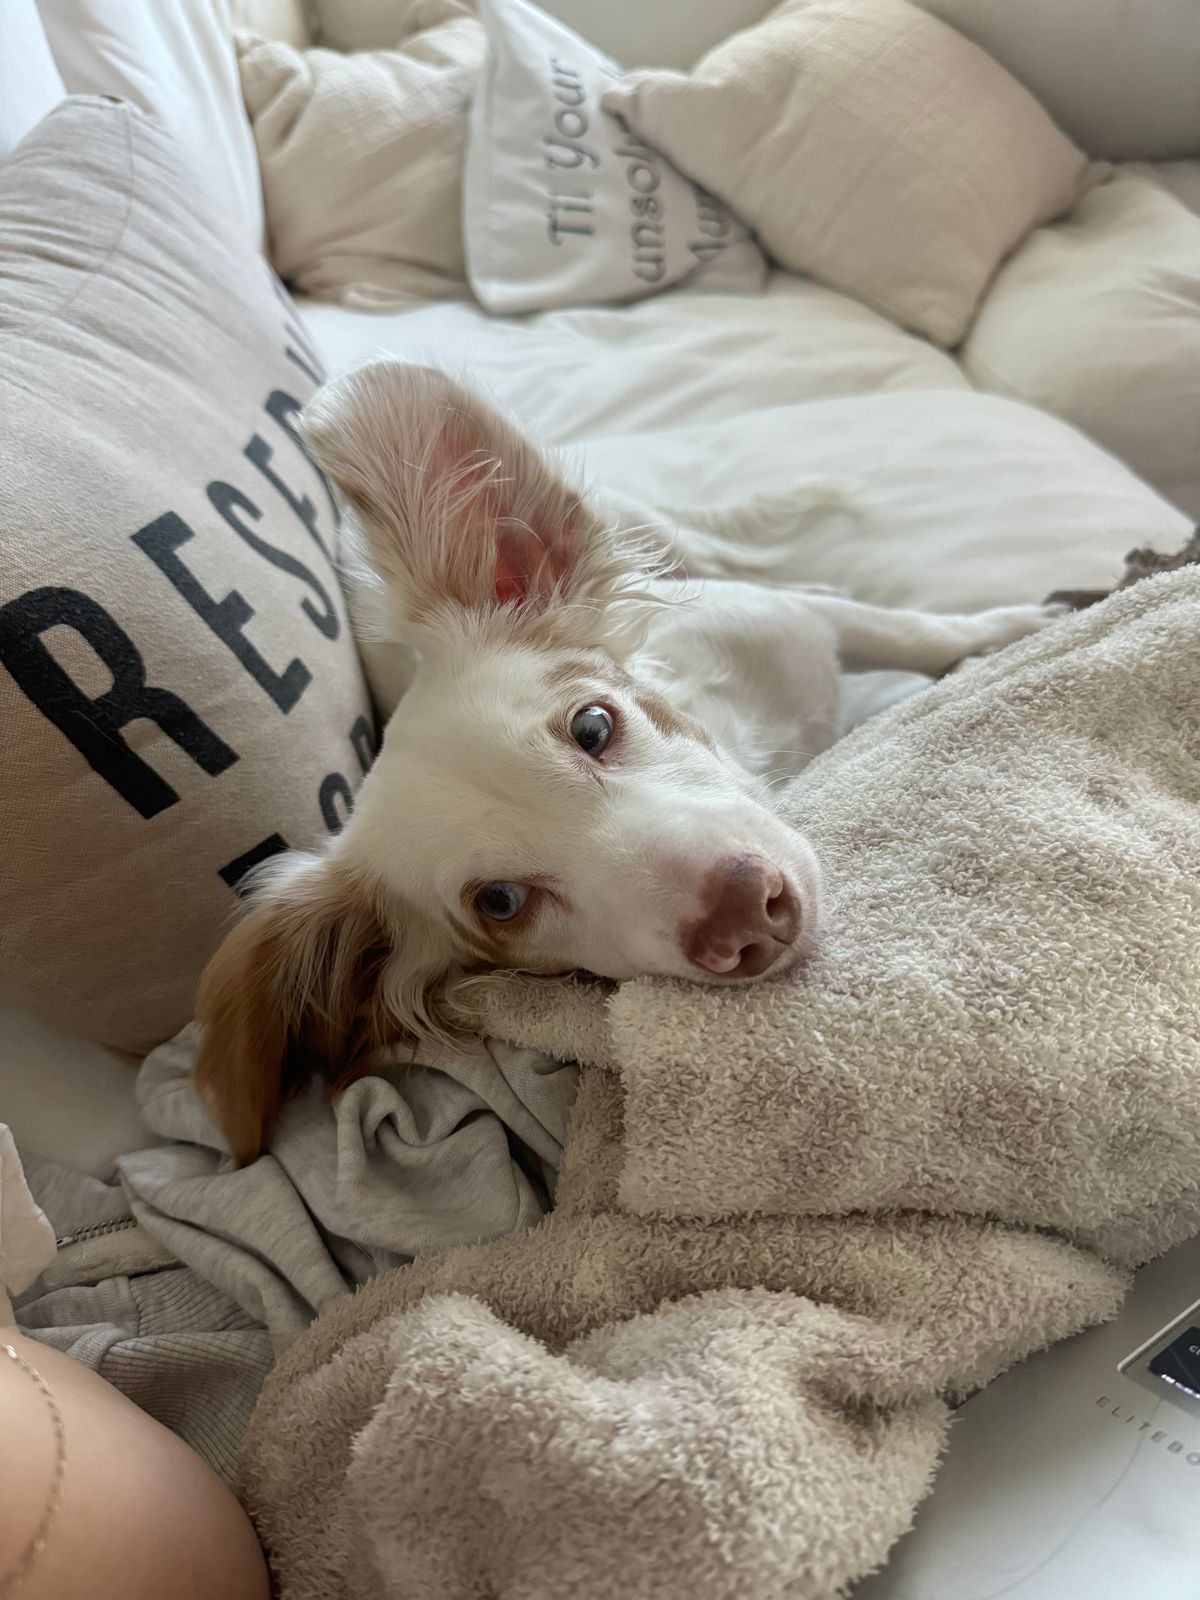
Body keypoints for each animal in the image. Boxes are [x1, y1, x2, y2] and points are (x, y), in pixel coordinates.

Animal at [195, 361, 1059, 1162]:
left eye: (592, 725)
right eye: (500, 903)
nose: (745, 914)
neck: (767, 745)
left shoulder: (792, 621)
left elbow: (908, 630)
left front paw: (1009, 628)